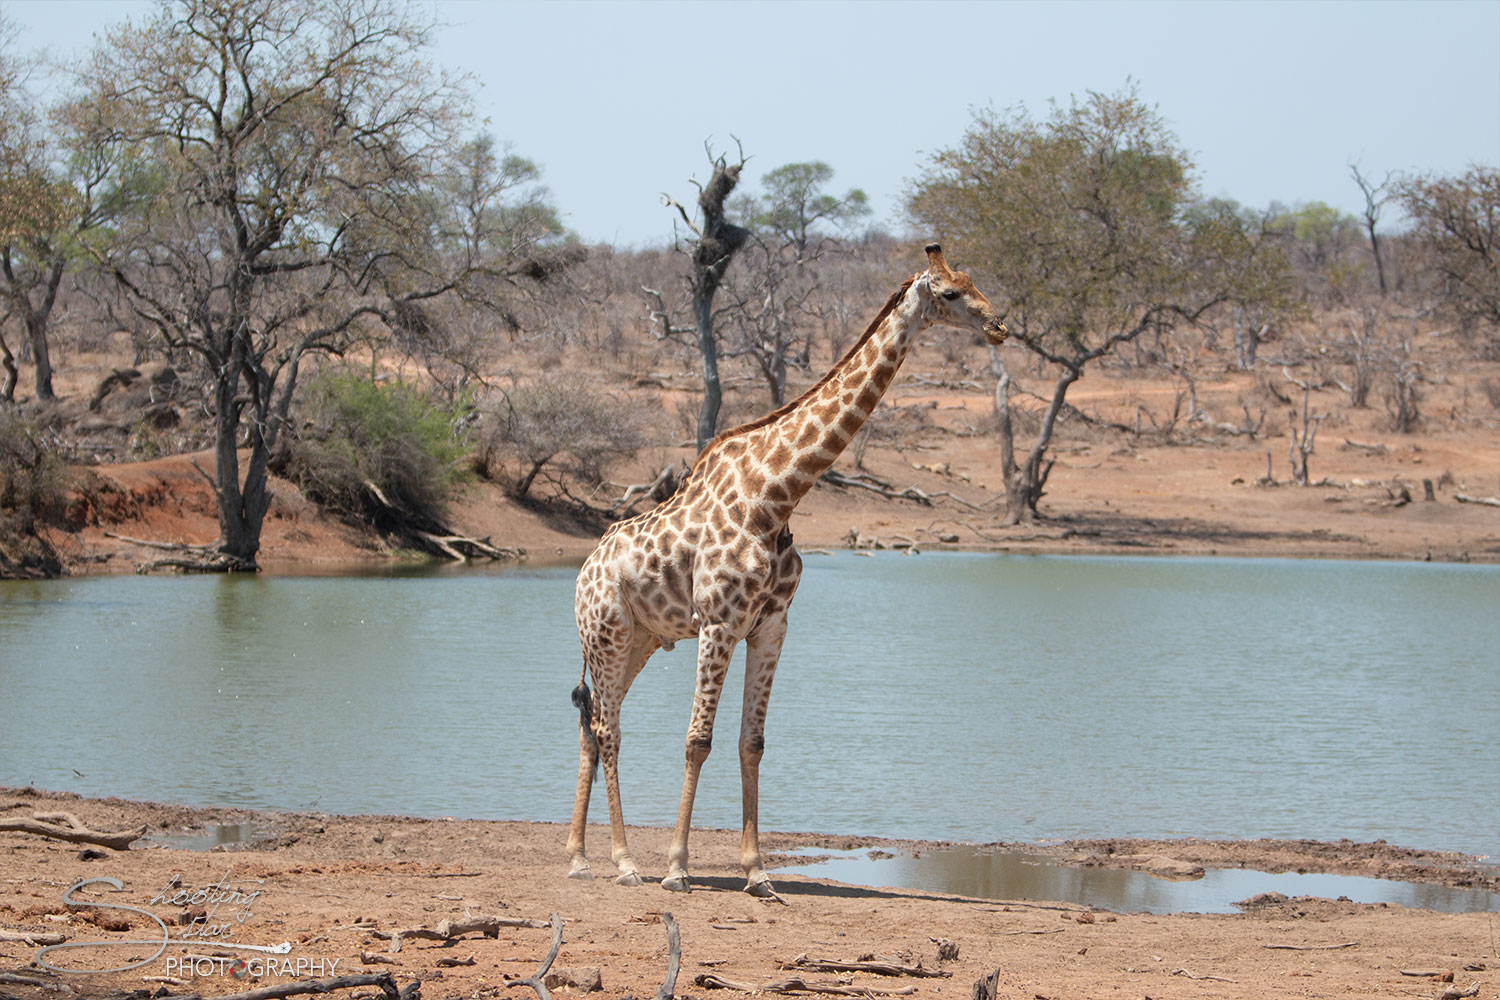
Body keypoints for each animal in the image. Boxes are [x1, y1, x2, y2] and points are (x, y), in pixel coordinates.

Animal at [566, 243, 1007, 895]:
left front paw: (757, 872)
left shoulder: (771, 625)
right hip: (606, 635)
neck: (777, 494)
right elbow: (698, 741)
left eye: (974, 281)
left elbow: (752, 742)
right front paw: (677, 867)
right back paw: (624, 863)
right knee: (607, 730)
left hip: (640, 641)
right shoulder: (720, 622)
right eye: (951, 293)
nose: (1001, 325)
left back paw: (578, 857)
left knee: (592, 724)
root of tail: (583, 570)